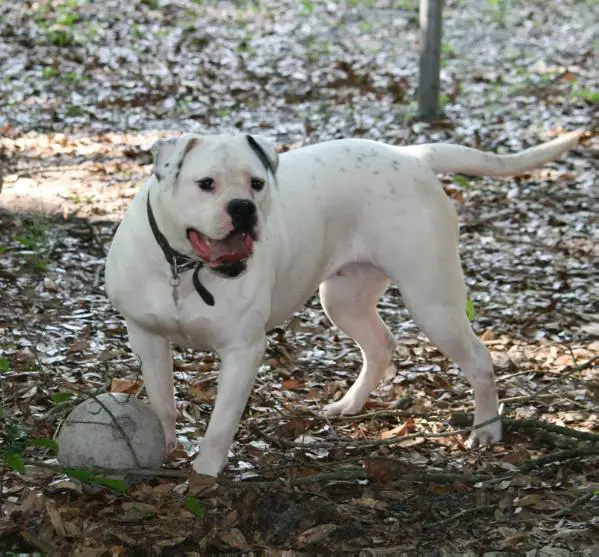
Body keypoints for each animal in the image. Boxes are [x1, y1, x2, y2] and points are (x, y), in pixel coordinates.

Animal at [105, 130, 584, 486]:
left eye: (257, 183)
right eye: (206, 184)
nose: (242, 208)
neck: (184, 268)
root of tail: (411, 155)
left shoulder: (243, 351)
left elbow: (222, 422)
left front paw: (203, 475)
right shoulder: (145, 335)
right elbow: (162, 400)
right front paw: (165, 445)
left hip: (433, 302)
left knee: (480, 359)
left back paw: (486, 428)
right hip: (343, 299)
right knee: (380, 345)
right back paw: (350, 404)